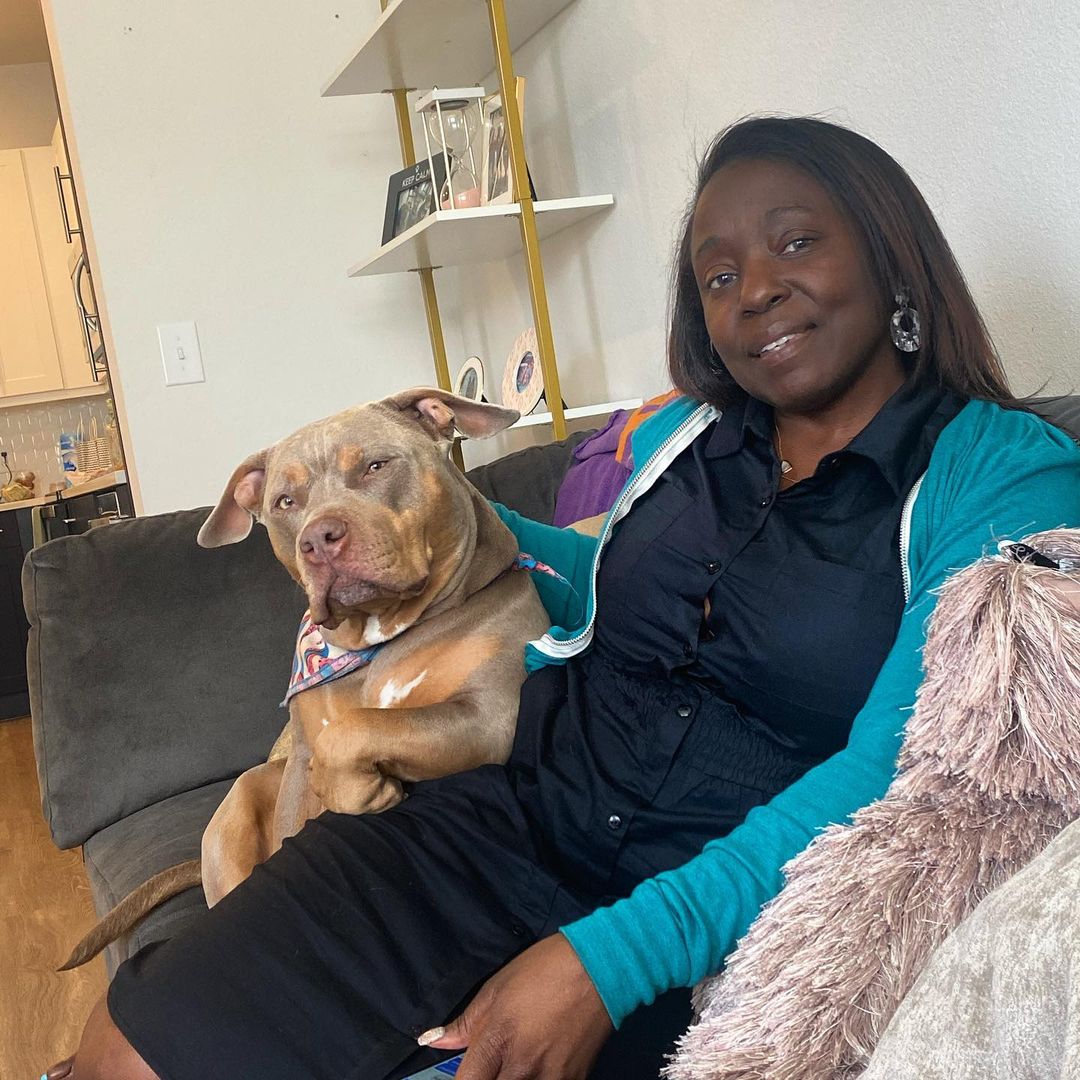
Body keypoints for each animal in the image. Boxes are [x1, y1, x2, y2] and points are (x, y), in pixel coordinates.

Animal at [61, 384, 548, 967]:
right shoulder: (301, 758)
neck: (378, 637)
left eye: (375, 466)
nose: (318, 539)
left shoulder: (490, 714)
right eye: (284, 503)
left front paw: (363, 788)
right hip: (240, 803)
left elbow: (357, 729)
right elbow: (320, 773)